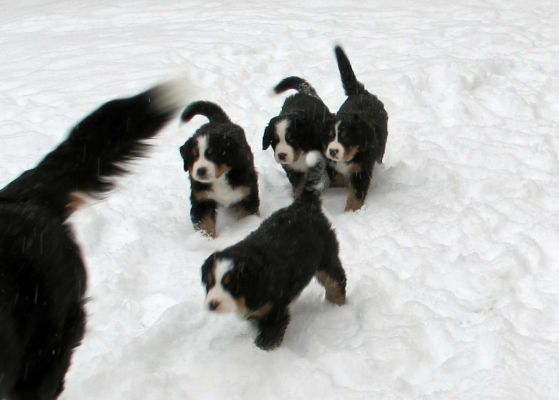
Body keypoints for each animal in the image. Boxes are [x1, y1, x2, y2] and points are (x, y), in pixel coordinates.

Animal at [178, 101, 260, 238]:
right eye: (193, 157)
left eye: (212, 155)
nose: (200, 170)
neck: (220, 179)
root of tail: (218, 120)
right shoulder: (202, 200)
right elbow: (205, 224)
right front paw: (207, 241)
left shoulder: (247, 194)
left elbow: (247, 216)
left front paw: (246, 227)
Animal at [199, 152, 348, 352]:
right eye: (209, 282)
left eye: (232, 285)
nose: (212, 304)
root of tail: (304, 205)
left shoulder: (274, 310)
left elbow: (269, 336)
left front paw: (262, 352)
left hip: (326, 256)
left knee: (336, 279)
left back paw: (336, 305)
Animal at [324, 45, 390, 211]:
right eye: (329, 135)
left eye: (346, 136)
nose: (333, 151)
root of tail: (362, 92)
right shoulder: (330, 163)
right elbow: (337, 179)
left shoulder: (361, 170)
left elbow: (356, 194)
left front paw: (351, 212)